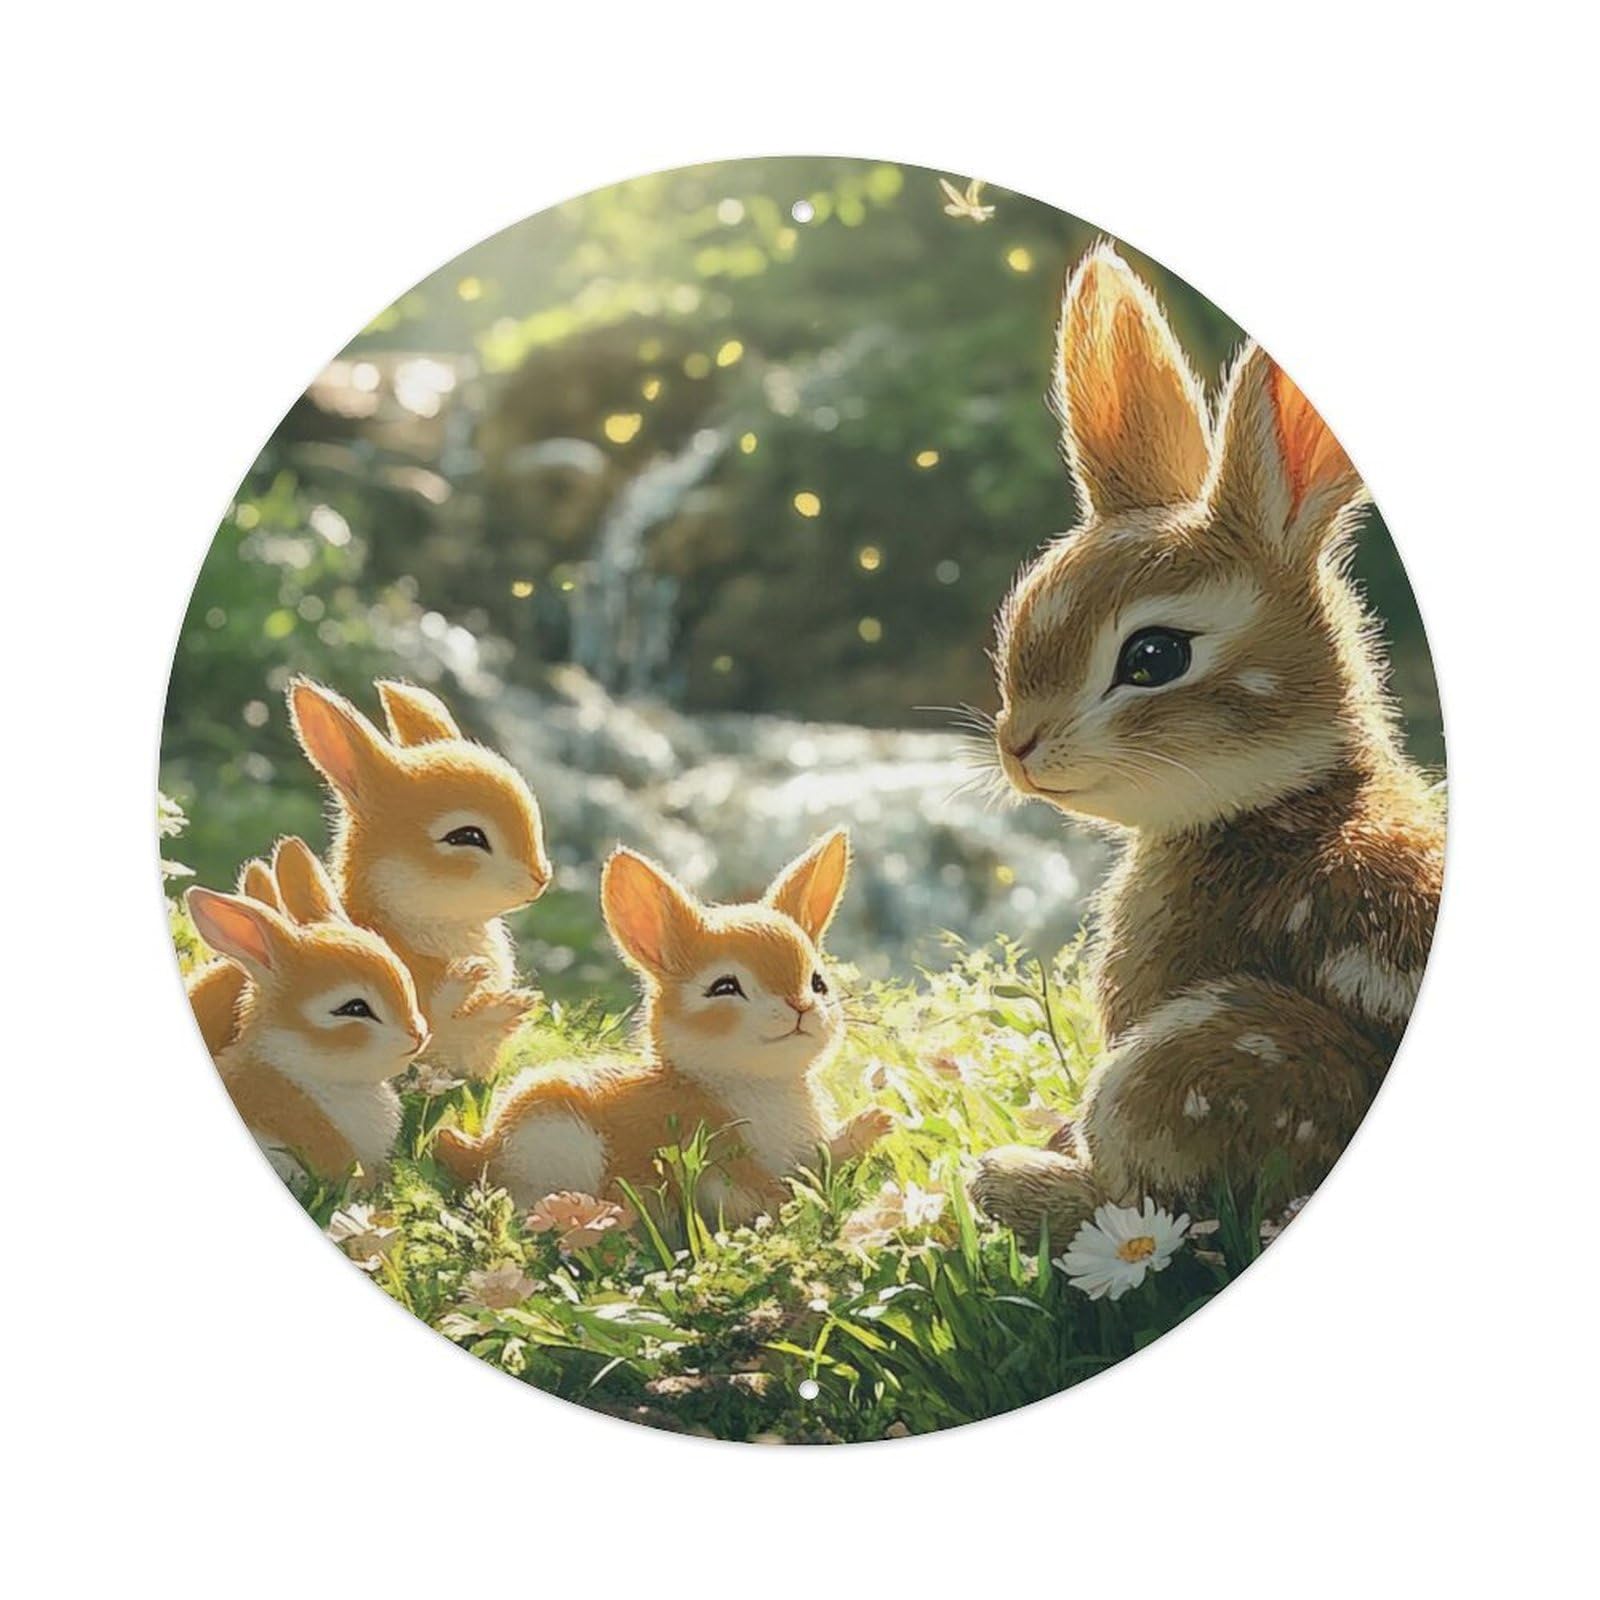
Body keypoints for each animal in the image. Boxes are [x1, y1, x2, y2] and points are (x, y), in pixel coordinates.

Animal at [435, 829, 891, 1228]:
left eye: (818, 982)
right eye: (724, 987)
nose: (801, 1006)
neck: (753, 1084)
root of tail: (486, 1151)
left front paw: (875, 1123)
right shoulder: (712, 1153)